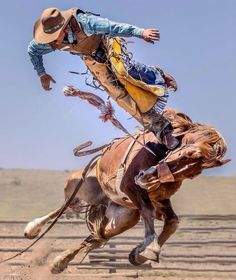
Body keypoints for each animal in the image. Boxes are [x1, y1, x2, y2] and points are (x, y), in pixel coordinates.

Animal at [22, 107, 229, 274]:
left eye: (195, 172)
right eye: (186, 154)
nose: (146, 179)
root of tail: (104, 202)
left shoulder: (159, 198)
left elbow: (172, 221)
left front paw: (140, 253)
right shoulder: (130, 186)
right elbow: (148, 211)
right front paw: (149, 248)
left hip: (124, 218)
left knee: (96, 236)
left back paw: (60, 262)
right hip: (79, 187)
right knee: (64, 207)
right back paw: (33, 228)